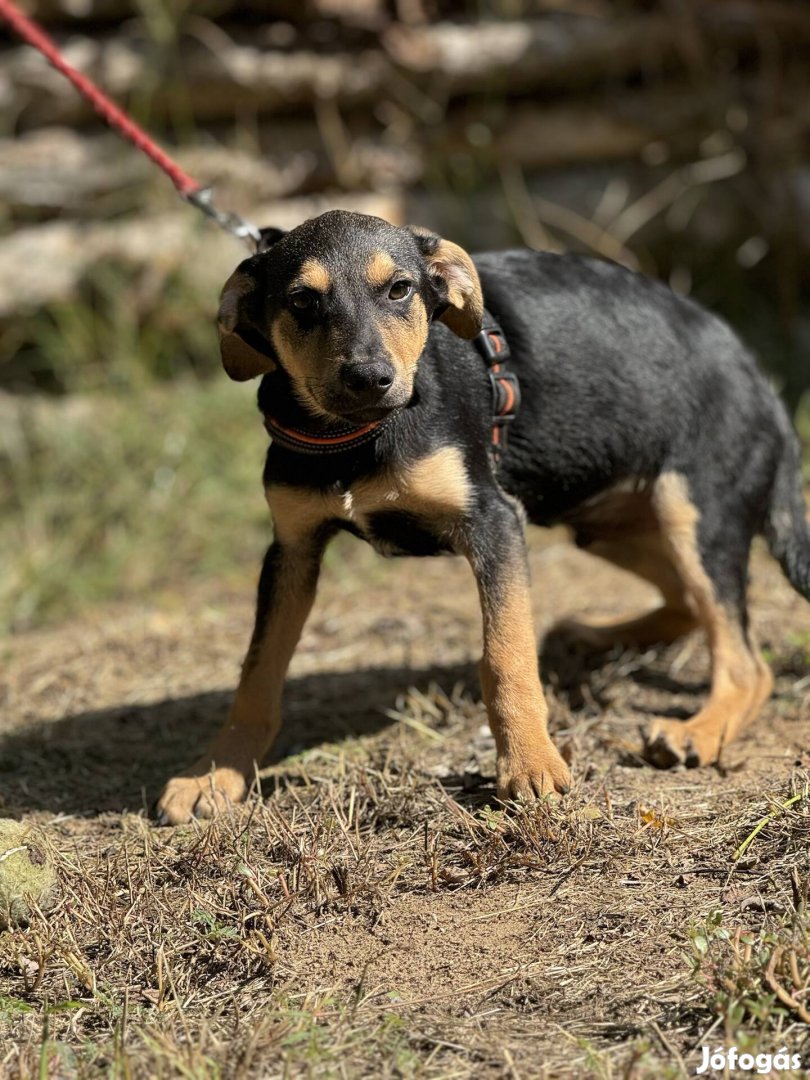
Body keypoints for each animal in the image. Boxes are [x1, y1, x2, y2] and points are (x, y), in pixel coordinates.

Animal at [153, 206, 810, 820]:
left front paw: (531, 765)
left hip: (690, 510)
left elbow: (506, 655)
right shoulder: (290, 547)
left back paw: (696, 730)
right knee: (688, 605)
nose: (370, 379)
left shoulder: (493, 520)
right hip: (601, 521)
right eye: (301, 300)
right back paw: (592, 636)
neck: (357, 438)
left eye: (400, 289)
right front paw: (215, 774)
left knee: (746, 662)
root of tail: (764, 383)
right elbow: (256, 674)